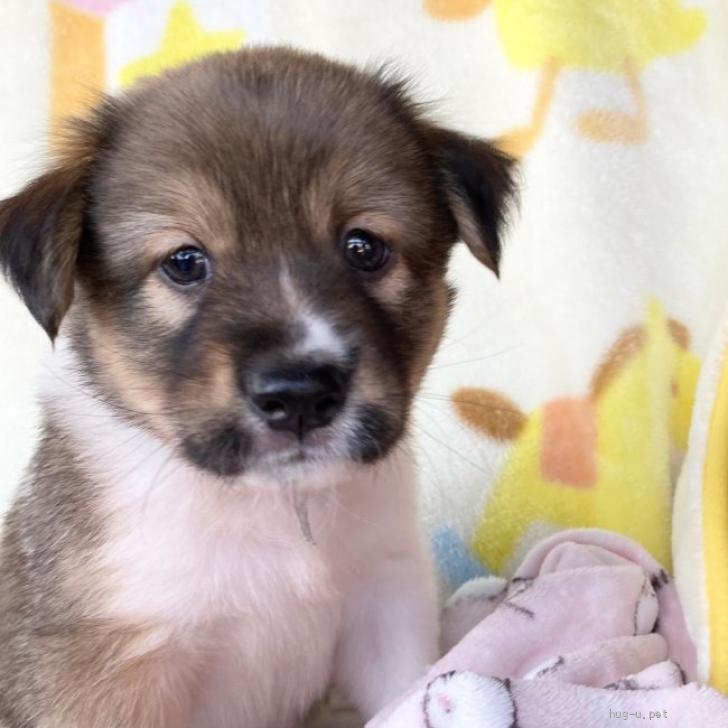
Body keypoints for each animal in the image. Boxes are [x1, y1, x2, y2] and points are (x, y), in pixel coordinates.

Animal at [0, 47, 514, 728]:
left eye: (364, 246)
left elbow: (408, 695)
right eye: (184, 262)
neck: (275, 508)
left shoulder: (385, 601)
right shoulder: (108, 669)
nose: (300, 395)